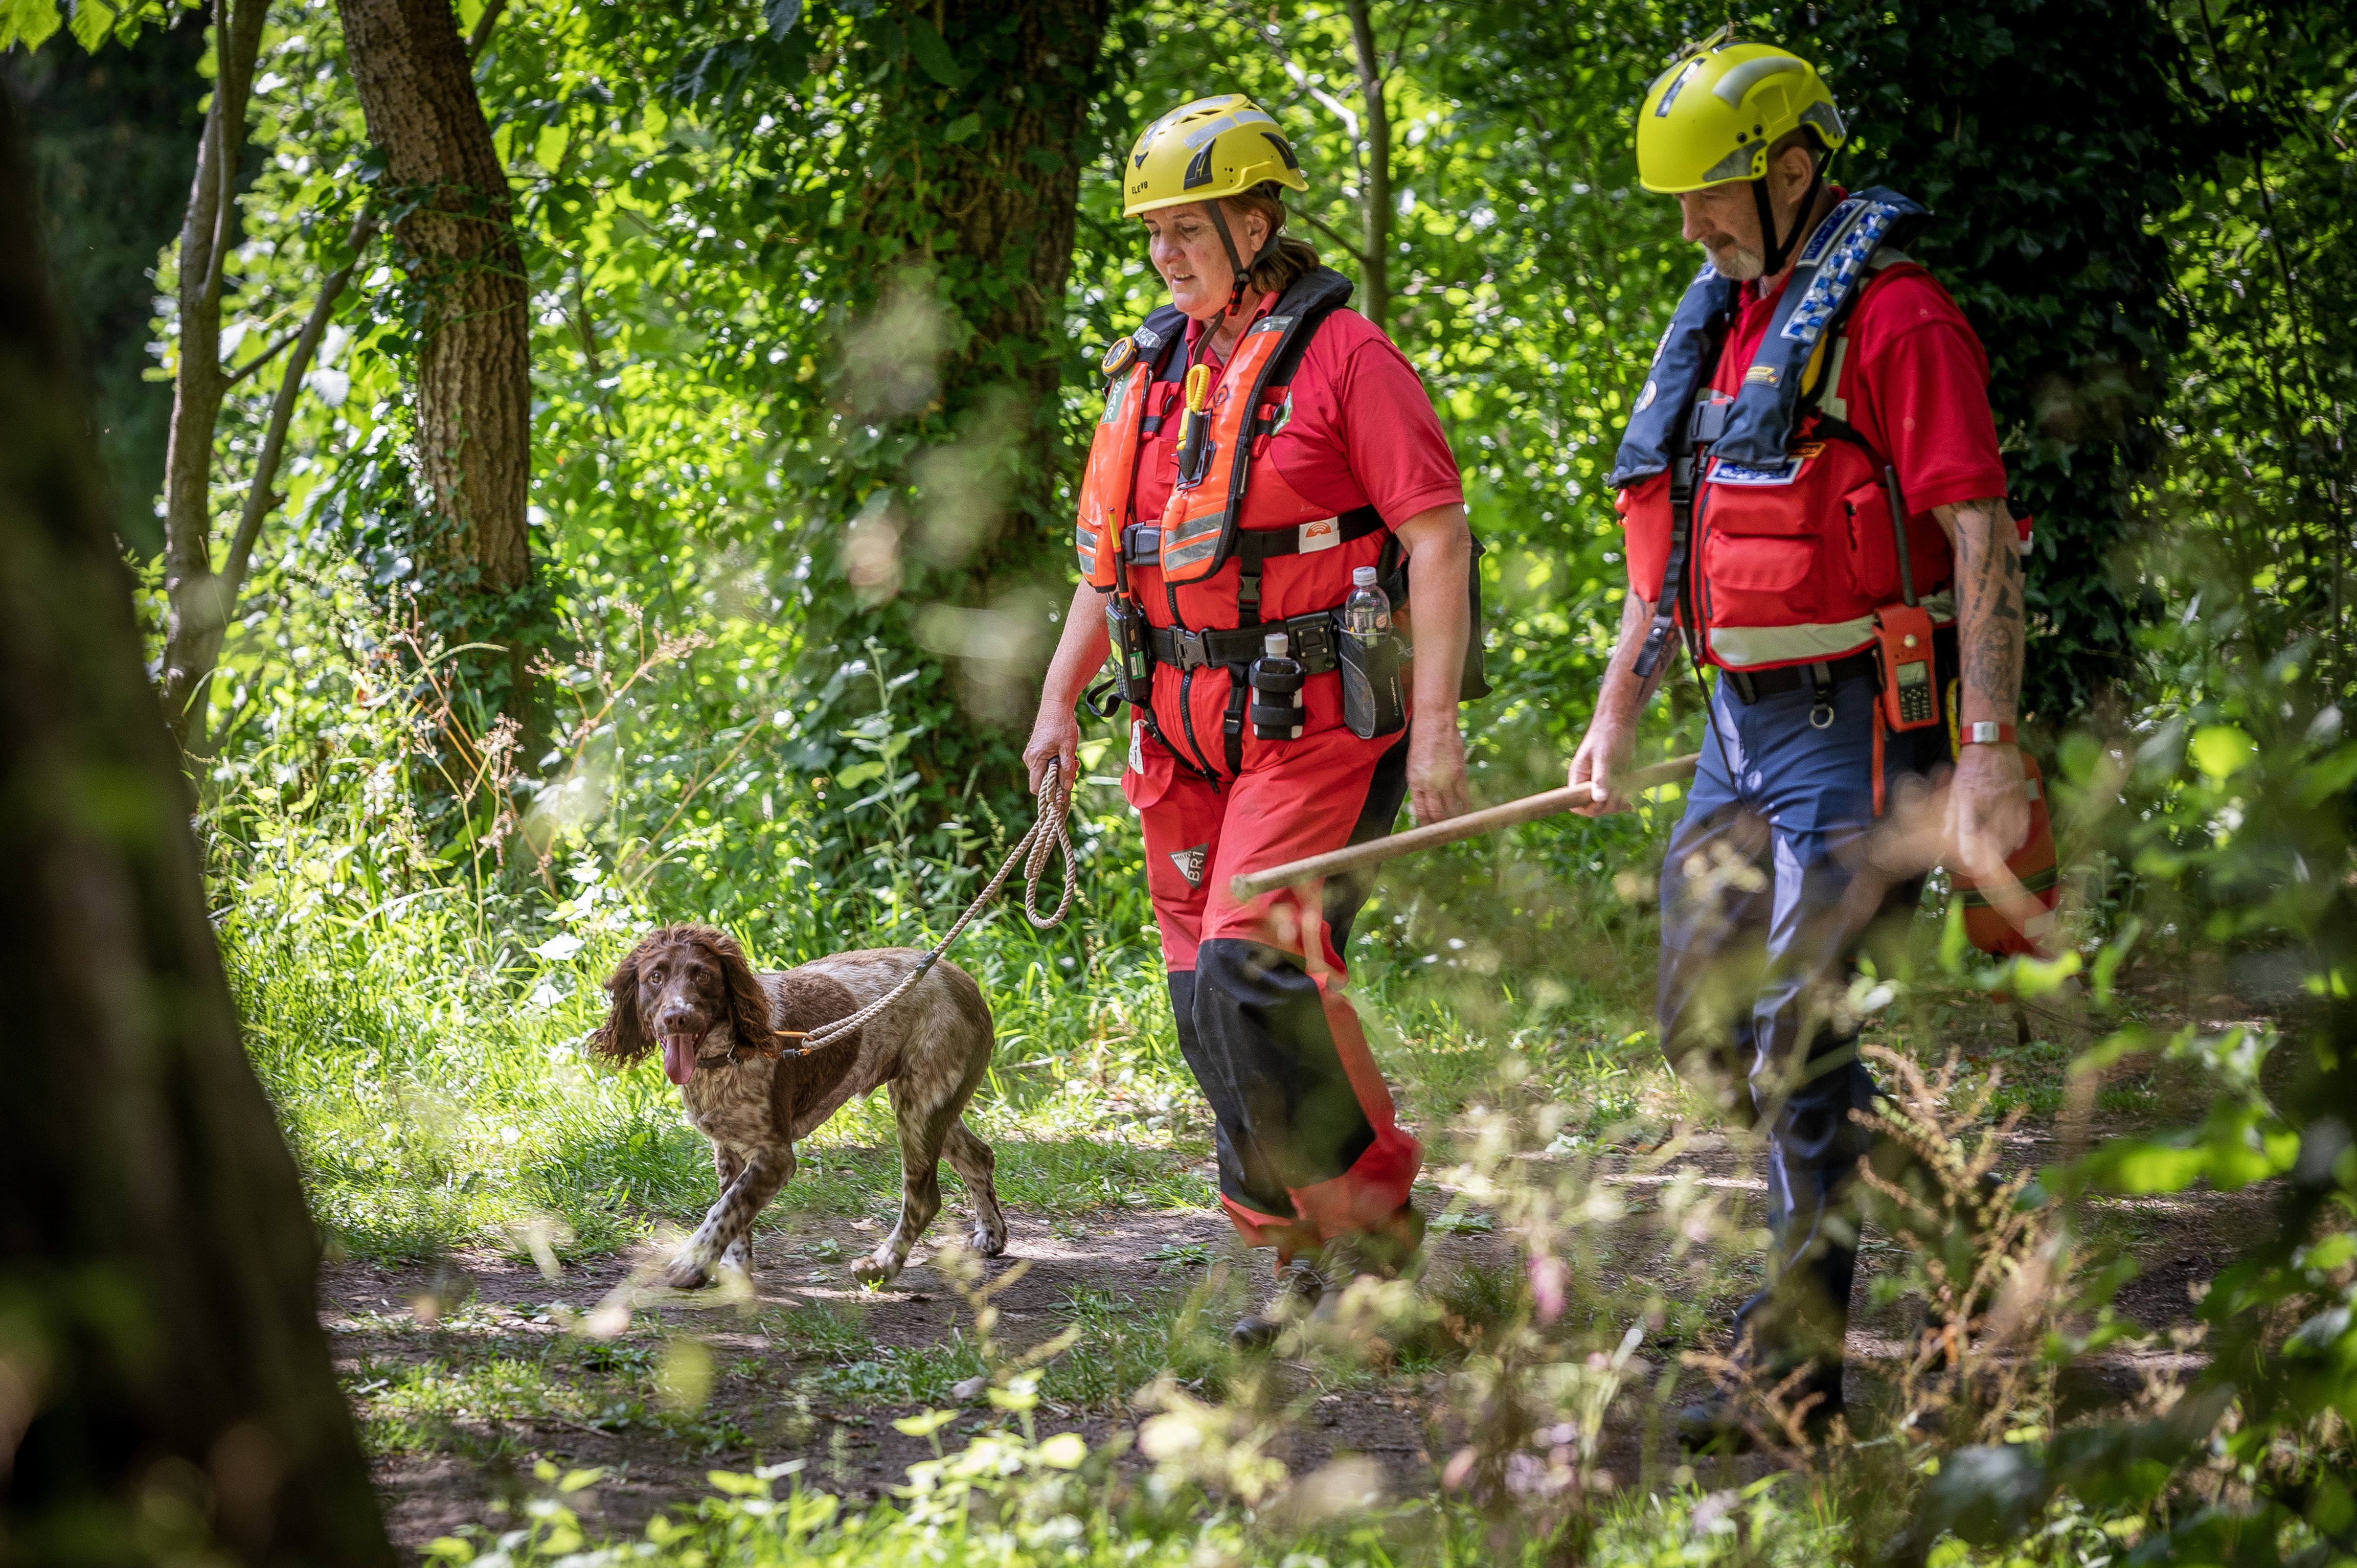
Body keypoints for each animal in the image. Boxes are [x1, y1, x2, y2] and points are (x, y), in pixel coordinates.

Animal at [589, 919, 1004, 1282]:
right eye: (655, 978)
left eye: (702, 976)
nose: (677, 1017)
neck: (725, 1055)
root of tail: (965, 982)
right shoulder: (728, 1146)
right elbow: (735, 1215)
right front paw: (736, 1270)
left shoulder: (775, 1157)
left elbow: (725, 1209)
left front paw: (691, 1263)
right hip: (933, 1104)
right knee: (979, 1156)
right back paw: (992, 1234)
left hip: (919, 1104)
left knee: (924, 1197)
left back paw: (883, 1264)